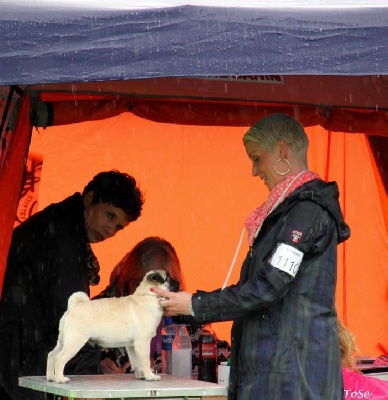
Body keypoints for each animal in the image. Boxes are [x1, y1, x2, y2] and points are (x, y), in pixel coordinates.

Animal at [47, 270, 179, 382]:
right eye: (168, 278)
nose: (177, 281)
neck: (147, 296)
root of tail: (74, 306)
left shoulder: (132, 345)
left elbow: (136, 362)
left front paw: (140, 375)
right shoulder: (143, 343)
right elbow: (145, 362)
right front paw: (150, 376)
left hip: (63, 340)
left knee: (52, 355)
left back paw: (51, 378)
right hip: (75, 341)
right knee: (59, 358)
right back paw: (60, 379)